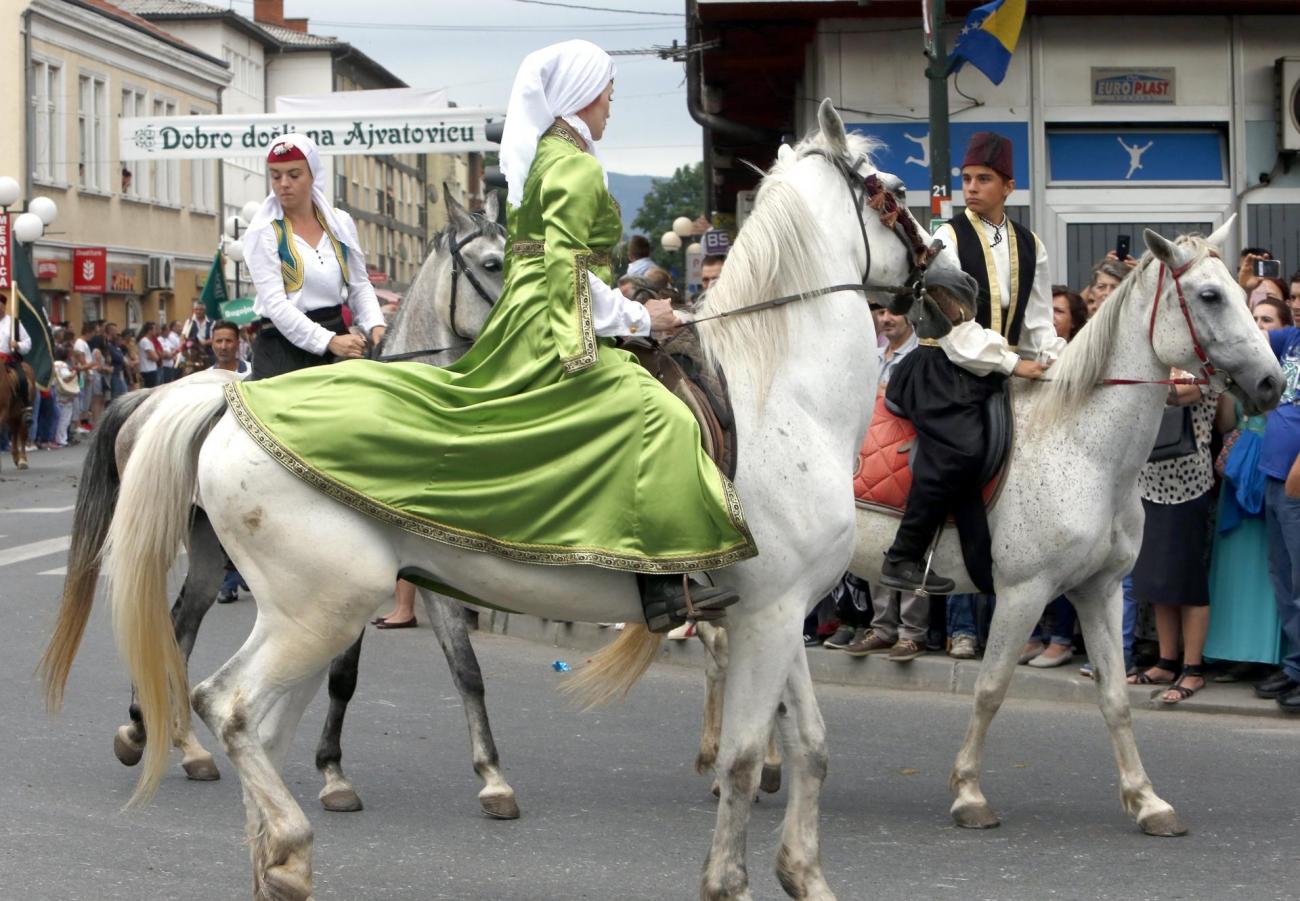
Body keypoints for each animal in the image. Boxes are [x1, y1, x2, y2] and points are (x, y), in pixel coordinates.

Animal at [43, 102, 946, 894]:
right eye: (890, 193)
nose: (956, 273)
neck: (775, 397)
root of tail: (225, 401)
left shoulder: (780, 610)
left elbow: (810, 746)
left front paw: (805, 875)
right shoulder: (767, 614)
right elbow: (743, 757)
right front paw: (728, 879)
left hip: (298, 600)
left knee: (247, 708)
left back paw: (269, 851)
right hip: (324, 601)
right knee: (224, 699)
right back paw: (264, 817)